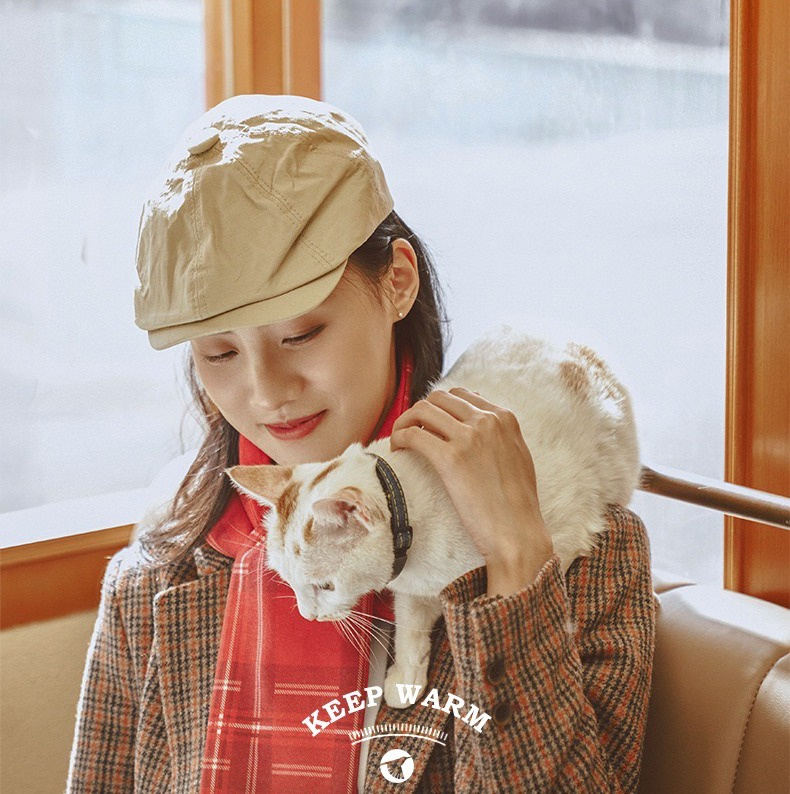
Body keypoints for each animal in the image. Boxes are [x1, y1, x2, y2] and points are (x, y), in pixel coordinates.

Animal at [226, 325, 641, 709]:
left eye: (325, 586)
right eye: (290, 583)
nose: (309, 616)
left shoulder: (568, 528)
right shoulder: (412, 588)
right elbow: (410, 626)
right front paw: (407, 677)